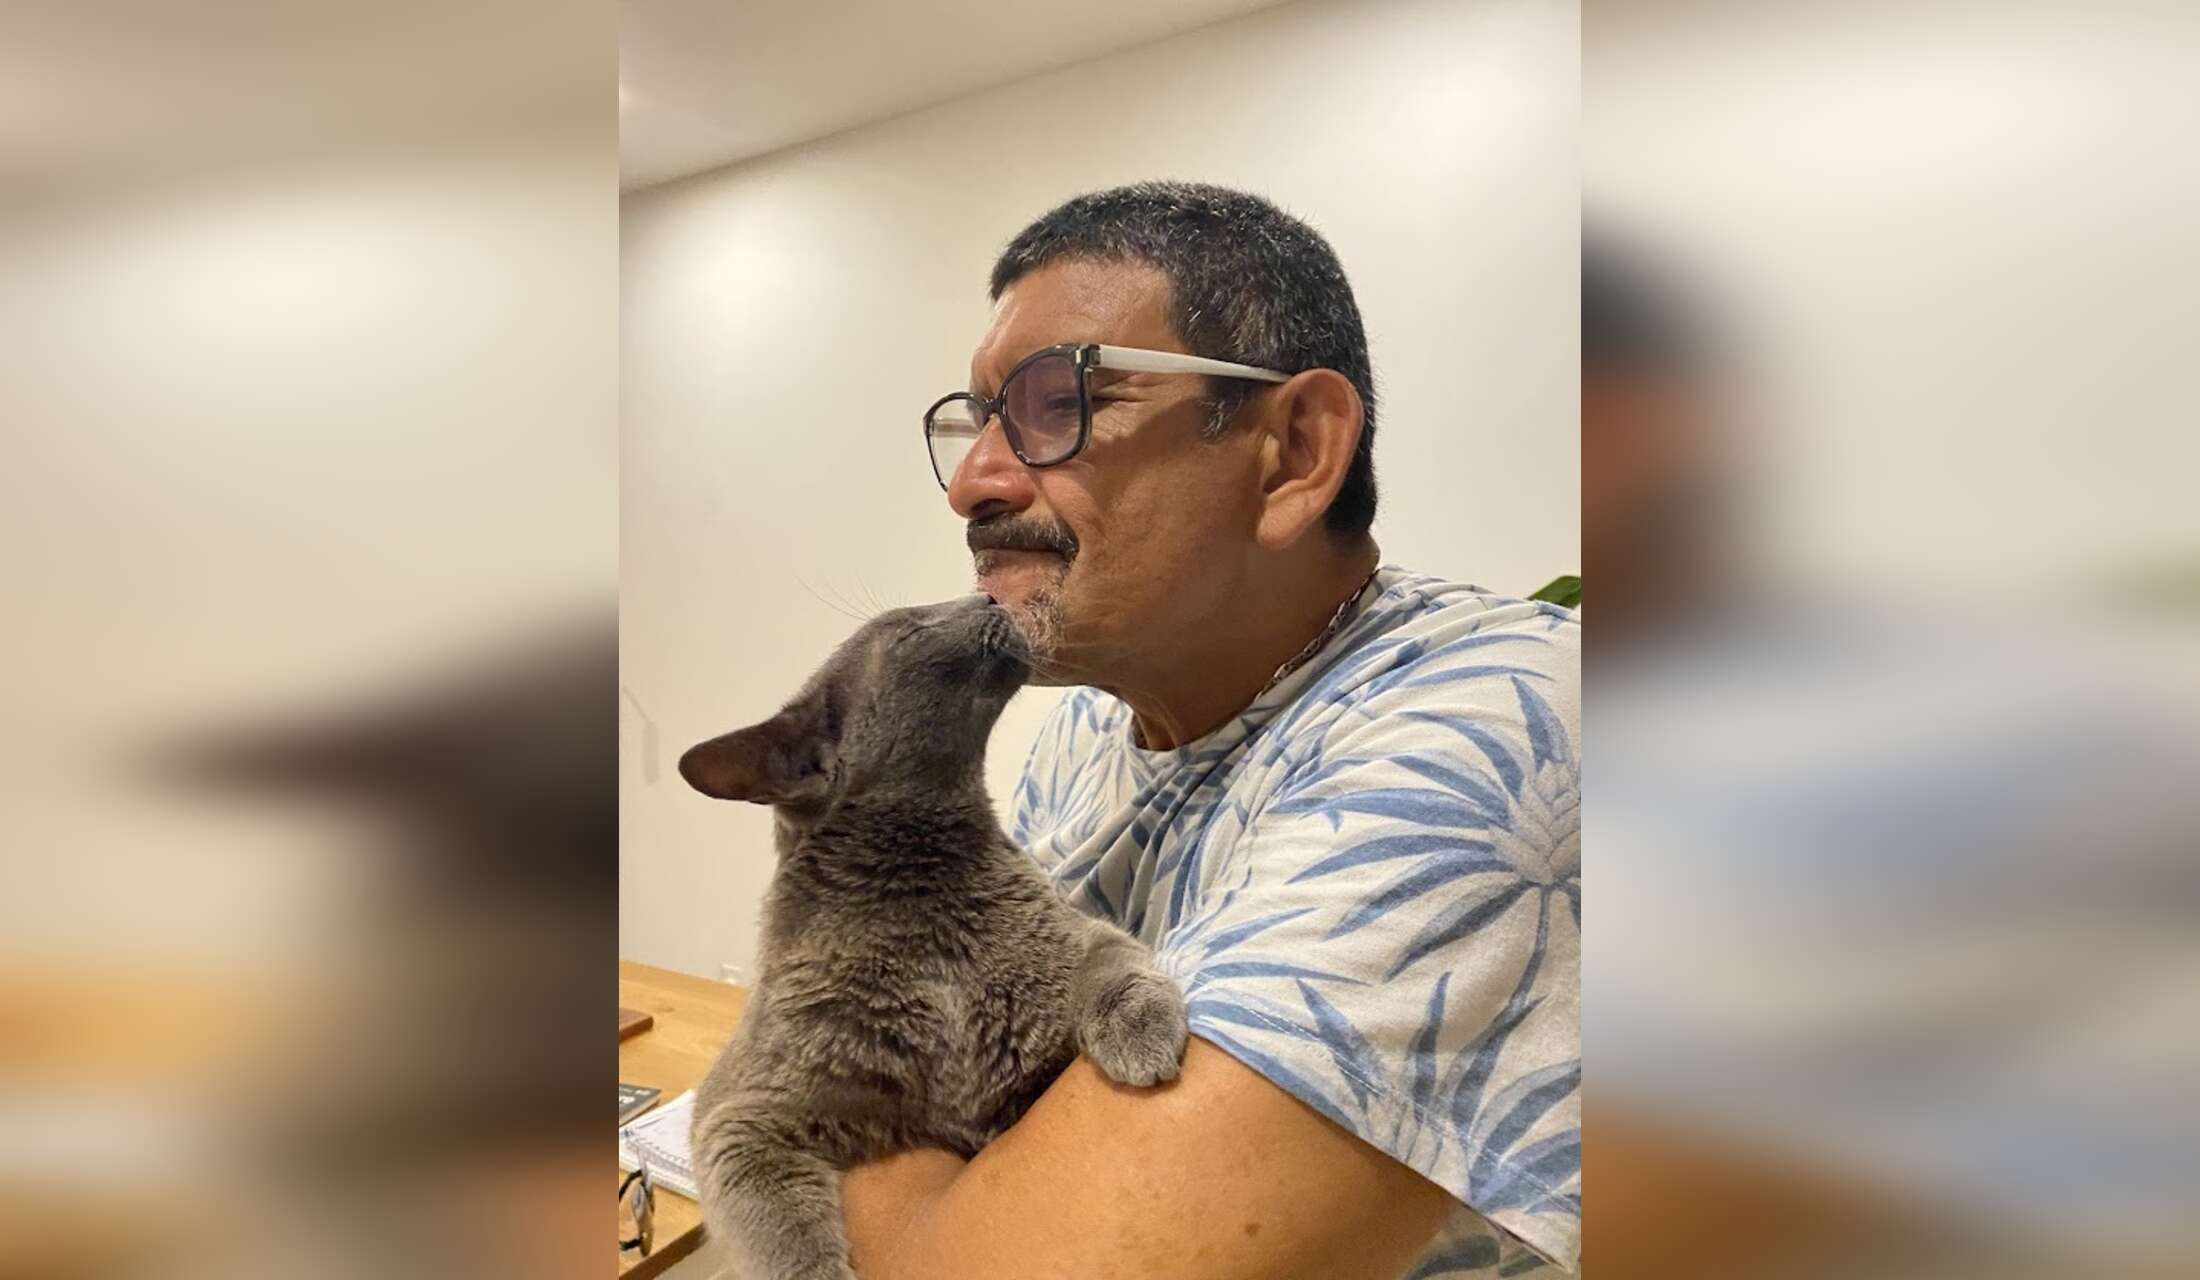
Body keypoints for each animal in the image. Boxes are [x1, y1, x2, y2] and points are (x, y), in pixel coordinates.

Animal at [676, 594, 1189, 1280]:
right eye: (909, 629)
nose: (990, 596)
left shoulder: (1076, 934)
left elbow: (1109, 961)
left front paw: (1140, 1033)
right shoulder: (740, 1116)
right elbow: (780, 1234)